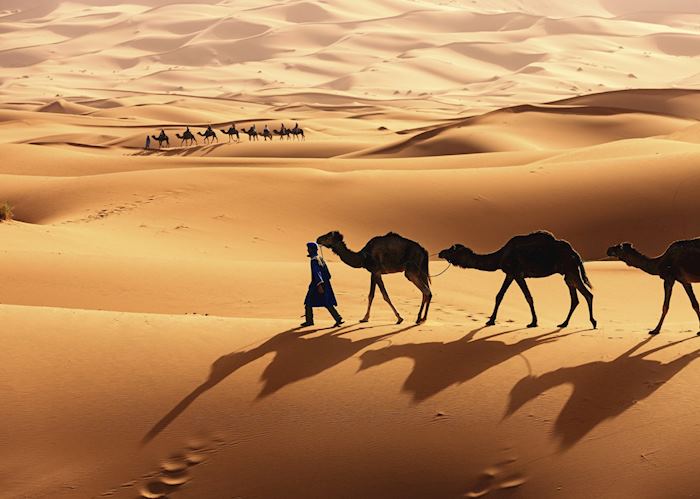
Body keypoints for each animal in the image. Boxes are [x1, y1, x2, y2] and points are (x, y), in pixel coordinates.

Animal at [439, 231, 596, 329]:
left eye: (452, 250)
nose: (441, 252)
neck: (500, 256)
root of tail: (575, 253)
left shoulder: (516, 273)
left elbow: (528, 297)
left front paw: (533, 322)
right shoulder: (510, 274)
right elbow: (499, 295)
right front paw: (491, 320)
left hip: (571, 270)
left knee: (588, 294)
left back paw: (593, 323)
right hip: (568, 274)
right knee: (575, 298)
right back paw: (563, 323)